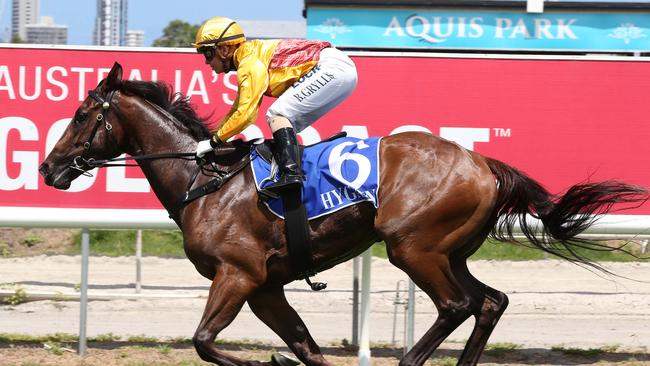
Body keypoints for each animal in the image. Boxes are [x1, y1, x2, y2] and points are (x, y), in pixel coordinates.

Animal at [39, 63, 644, 366]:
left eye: (81, 114)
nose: (48, 168)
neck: (204, 183)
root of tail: (483, 162)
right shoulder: (266, 287)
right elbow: (304, 347)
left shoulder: (239, 275)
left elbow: (206, 342)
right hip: (450, 250)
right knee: (490, 301)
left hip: (412, 246)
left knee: (458, 305)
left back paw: (409, 362)